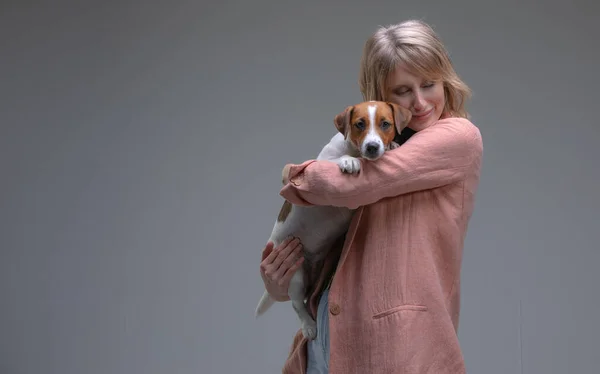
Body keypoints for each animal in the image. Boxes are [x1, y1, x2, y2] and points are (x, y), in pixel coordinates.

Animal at [253, 99, 412, 338]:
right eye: (359, 124)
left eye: (385, 124)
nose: (372, 147)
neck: (355, 149)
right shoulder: (323, 162)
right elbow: (336, 159)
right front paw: (349, 161)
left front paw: (392, 145)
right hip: (296, 274)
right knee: (297, 304)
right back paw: (308, 326)